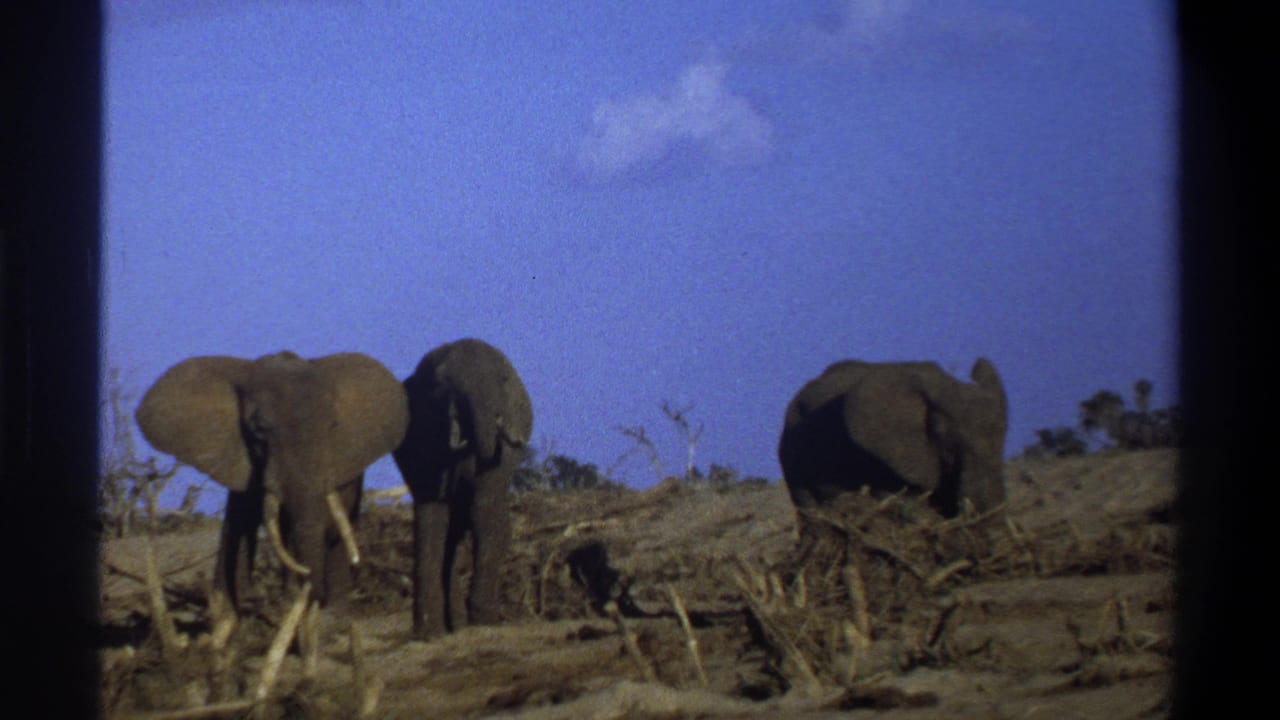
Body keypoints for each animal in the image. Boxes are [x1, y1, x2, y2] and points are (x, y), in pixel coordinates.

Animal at [392, 339, 533, 640]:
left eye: (503, 380)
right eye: (444, 386)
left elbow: (484, 510)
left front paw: (482, 620)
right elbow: (432, 516)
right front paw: (433, 632)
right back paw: (441, 629)